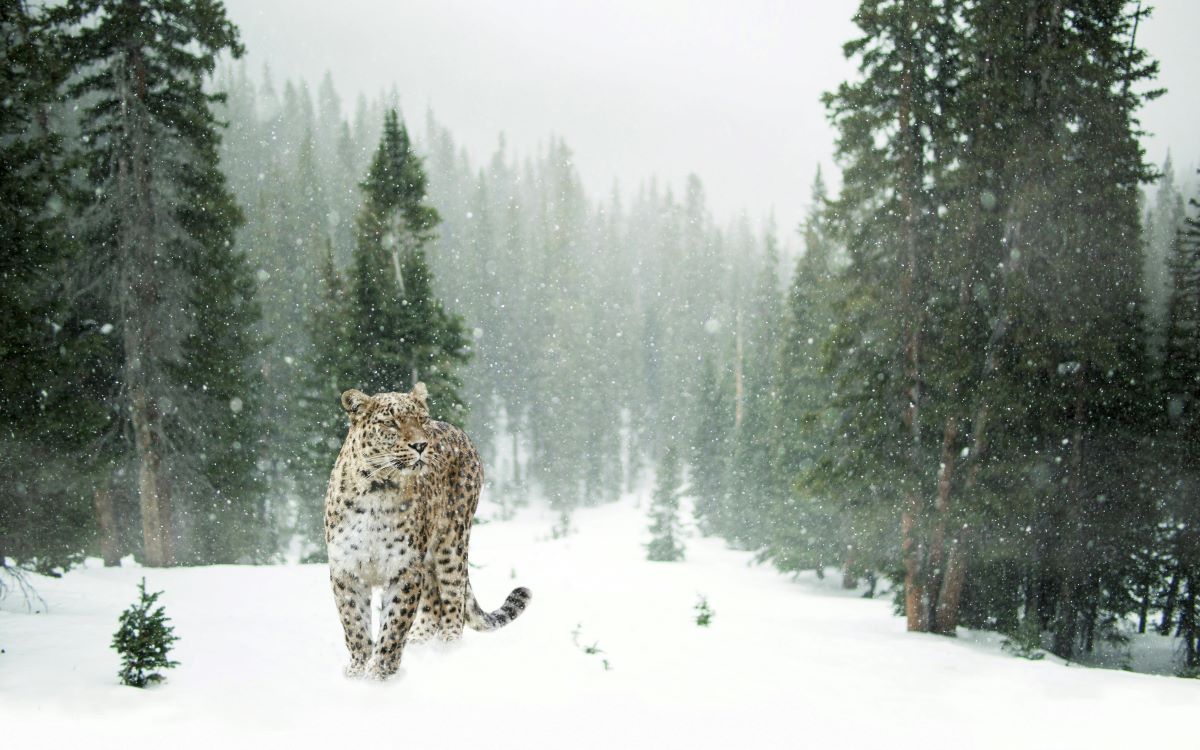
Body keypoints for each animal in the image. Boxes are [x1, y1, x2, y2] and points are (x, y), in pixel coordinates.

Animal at [324, 382, 531, 680]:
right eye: (391, 423)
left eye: (421, 420)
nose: (421, 445)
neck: (377, 490)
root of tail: (459, 431)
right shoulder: (346, 569)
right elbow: (354, 624)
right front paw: (357, 671)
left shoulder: (405, 569)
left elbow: (394, 624)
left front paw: (380, 674)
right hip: (430, 558)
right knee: (433, 602)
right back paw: (419, 643)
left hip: (452, 543)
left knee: (453, 599)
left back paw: (447, 650)